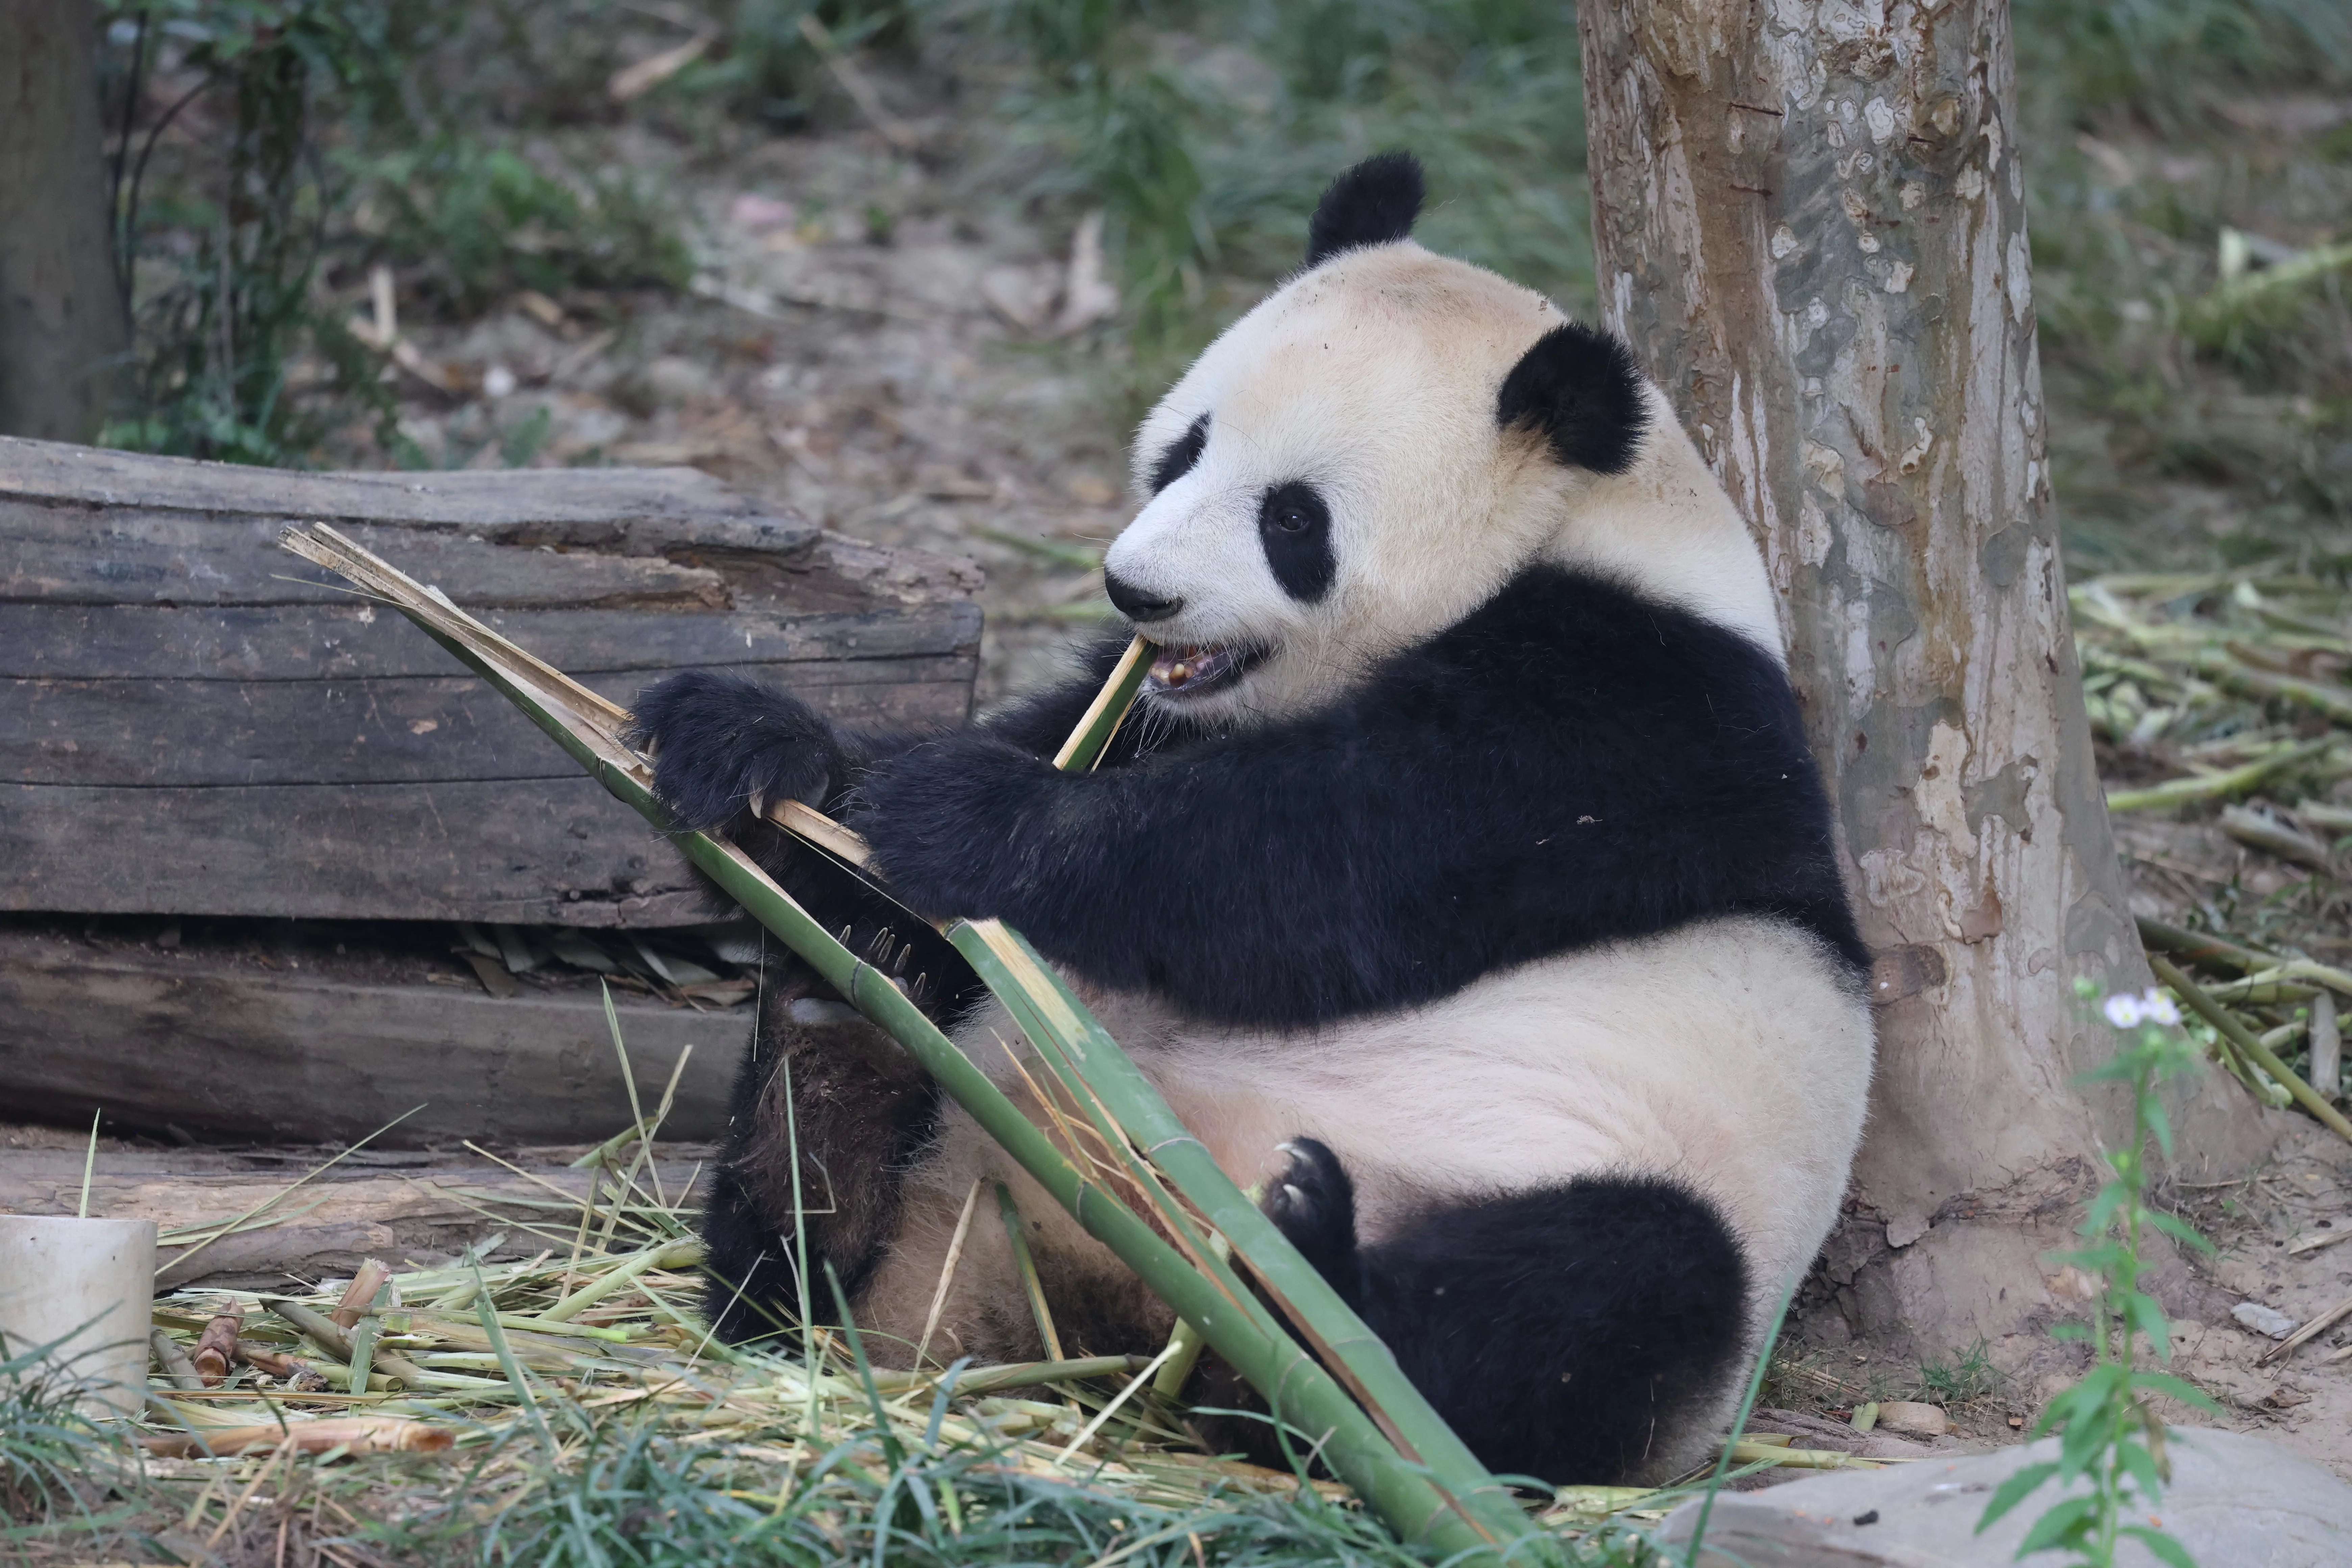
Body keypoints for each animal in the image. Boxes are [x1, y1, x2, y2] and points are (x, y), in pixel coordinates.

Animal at [626, 152, 1875, 1487]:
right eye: (1183, 449)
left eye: (1291, 518)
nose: (1135, 590)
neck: (1589, 527)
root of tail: (1066, 1292)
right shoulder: (1153, 709)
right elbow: (1035, 756)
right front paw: (753, 746)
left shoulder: (1635, 715)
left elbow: (1326, 875)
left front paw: (965, 814)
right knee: (793, 1272)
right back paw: (833, 1059)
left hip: (1618, 1175)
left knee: (1588, 1300)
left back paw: (1306, 1284)